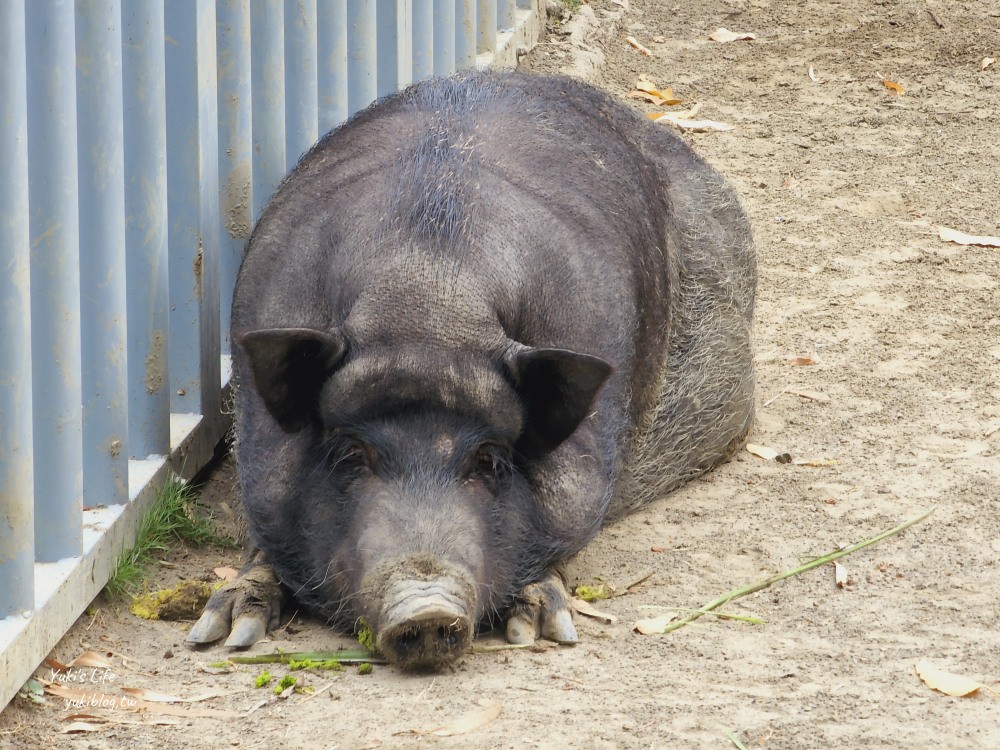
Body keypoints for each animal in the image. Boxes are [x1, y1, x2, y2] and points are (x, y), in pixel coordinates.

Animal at [188, 70, 752, 668]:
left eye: (488, 460)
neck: (427, 296)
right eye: (350, 455)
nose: (427, 609)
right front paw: (222, 632)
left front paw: (542, 628)